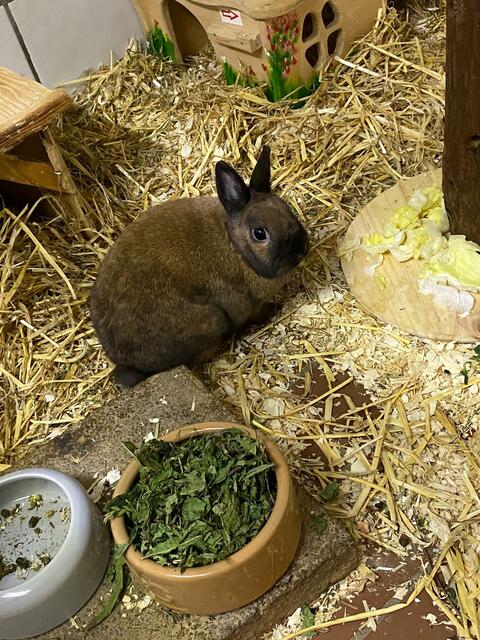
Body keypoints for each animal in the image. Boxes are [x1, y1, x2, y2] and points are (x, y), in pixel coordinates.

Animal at [89, 145, 309, 387]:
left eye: (287, 210)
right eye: (259, 233)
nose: (301, 250)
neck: (234, 245)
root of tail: (127, 363)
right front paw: (273, 309)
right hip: (212, 320)